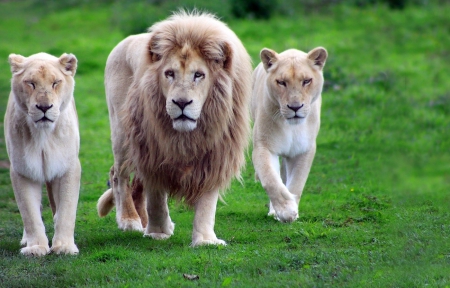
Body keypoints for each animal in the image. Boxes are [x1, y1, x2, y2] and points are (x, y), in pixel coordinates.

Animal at [4, 53, 80, 255]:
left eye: (55, 83)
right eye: (30, 83)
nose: (44, 107)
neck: (43, 135)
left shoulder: (68, 167)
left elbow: (67, 209)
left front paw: (64, 246)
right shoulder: (23, 170)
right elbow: (29, 212)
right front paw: (36, 247)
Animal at [97, 10, 251, 245]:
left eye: (199, 74)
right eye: (169, 73)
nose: (181, 103)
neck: (187, 136)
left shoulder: (216, 155)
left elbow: (207, 203)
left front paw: (205, 240)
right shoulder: (152, 152)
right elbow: (156, 198)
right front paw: (158, 232)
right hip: (123, 133)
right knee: (119, 176)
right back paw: (130, 220)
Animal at [250, 46, 326, 223]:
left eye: (306, 81)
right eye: (281, 82)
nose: (295, 107)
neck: (292, 127)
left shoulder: (304, 150)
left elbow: (297, 182)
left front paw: (292, 211)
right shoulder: (264, 147)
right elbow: (270, 179)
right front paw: (286, 210)